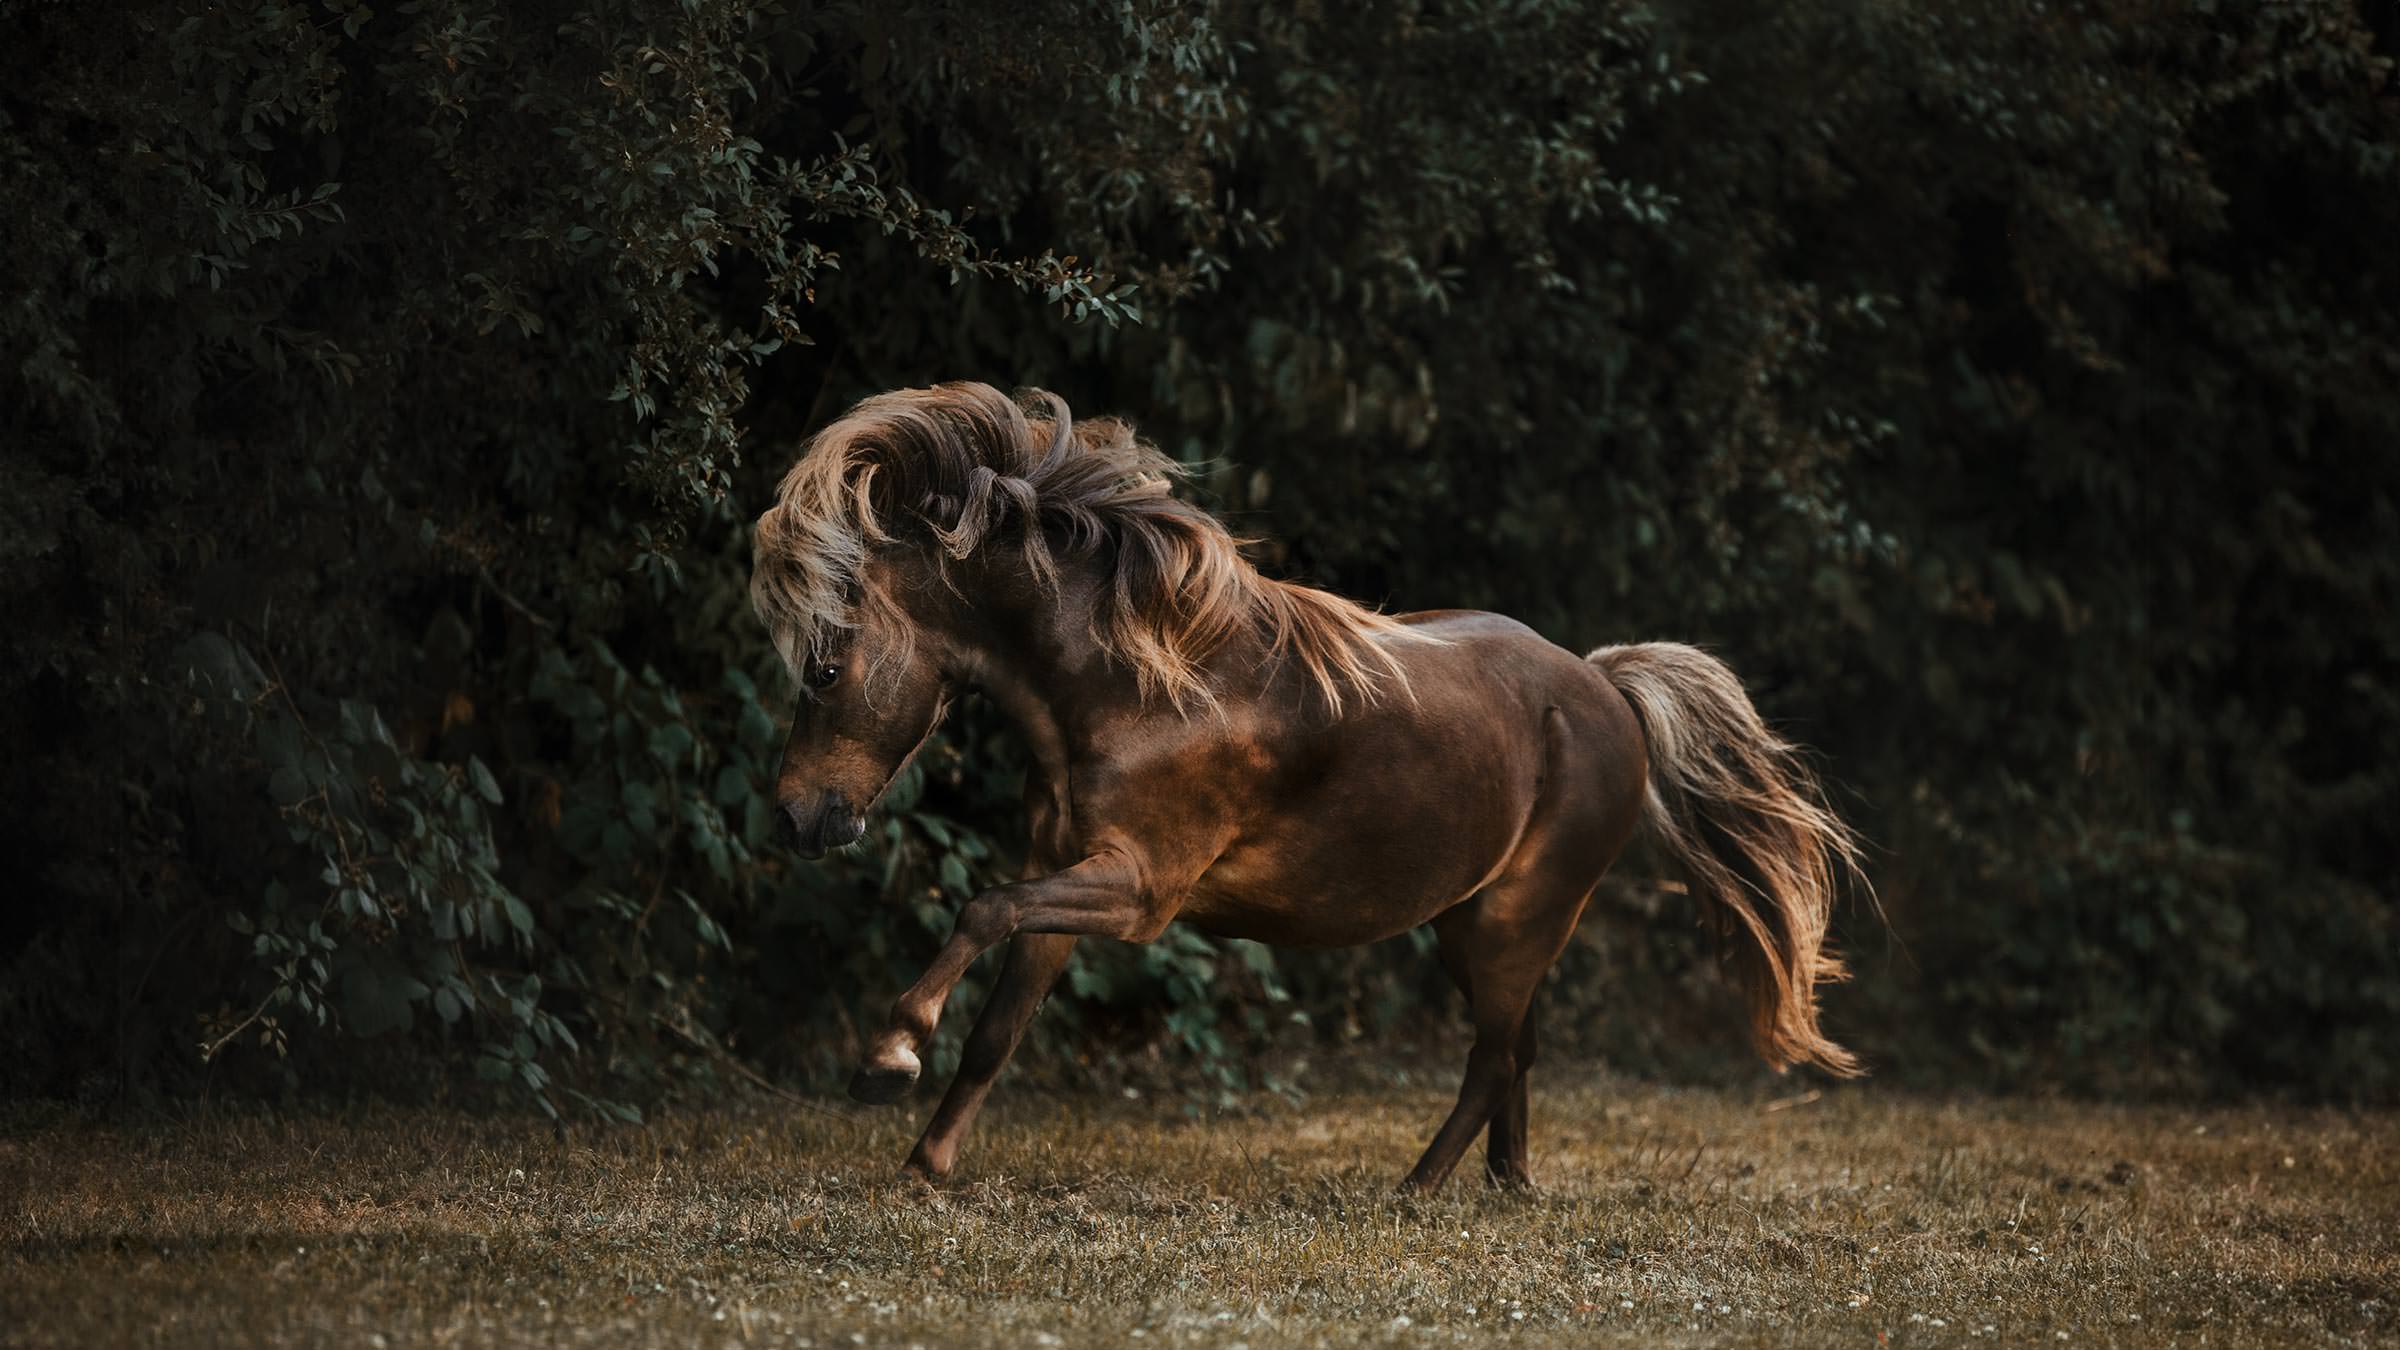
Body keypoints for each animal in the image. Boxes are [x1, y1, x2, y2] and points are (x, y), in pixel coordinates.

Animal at [750, 382, 1866, 1192]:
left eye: (824, 669)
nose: (798, 817)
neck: (1147, 681)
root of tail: (1607, 685)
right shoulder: (1062, 872)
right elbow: (996, 1024)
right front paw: (926, 1162)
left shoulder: (1139, 892)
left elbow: (980, 909)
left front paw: (886, 1059)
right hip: (1470, 926)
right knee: (1518, 1048)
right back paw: (1506, 1184)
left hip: (1519, 920)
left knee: (1492, 1054)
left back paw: (1418, 1188)